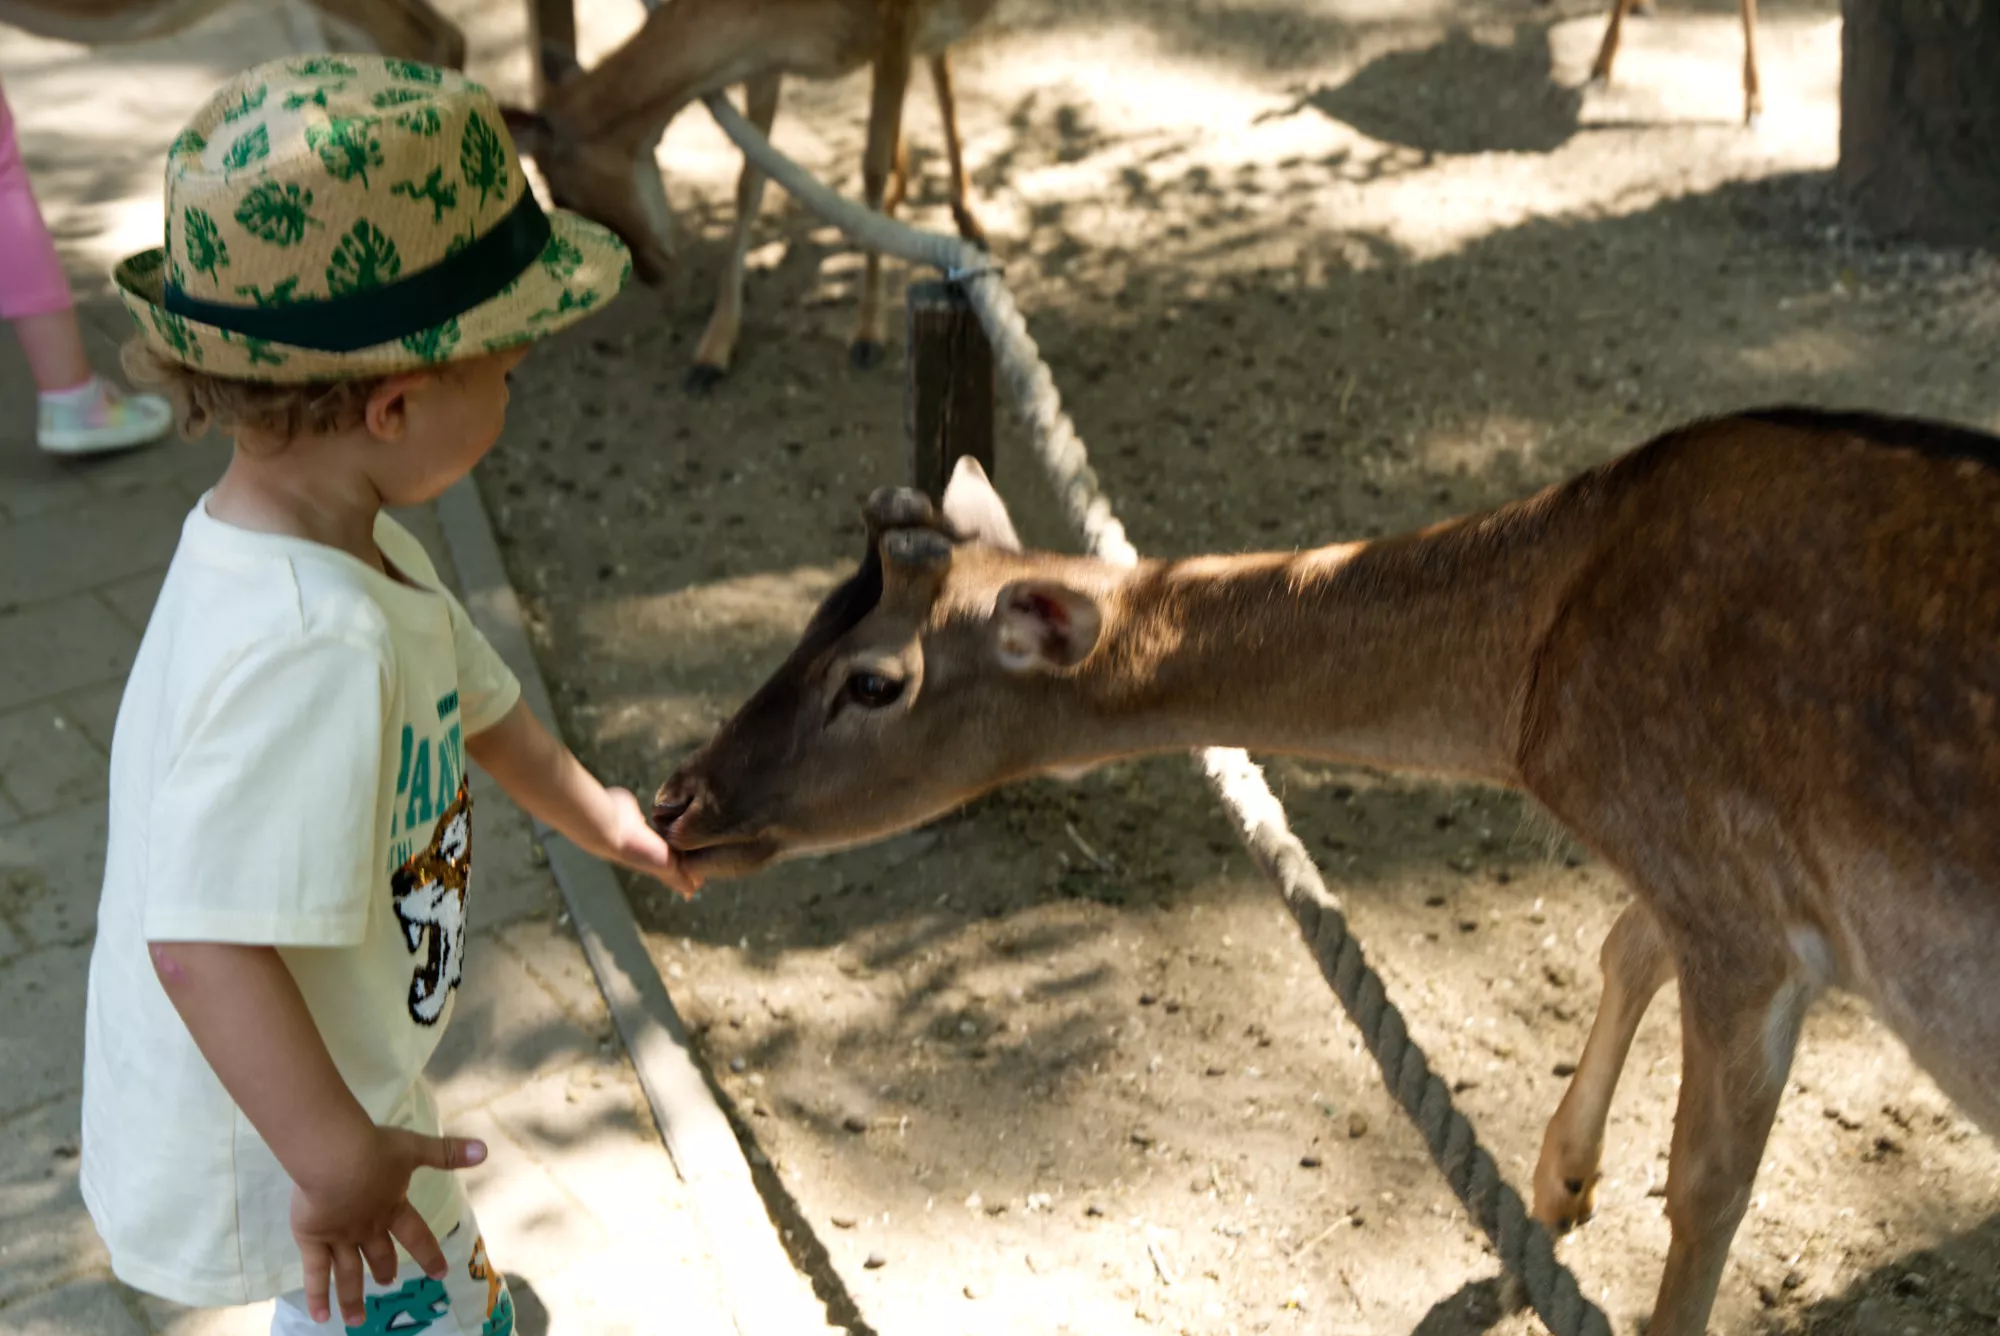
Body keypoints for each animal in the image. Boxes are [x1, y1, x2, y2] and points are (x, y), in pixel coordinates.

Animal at [504, 0, 996, 392]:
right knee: (939, 59)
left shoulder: (895, 27)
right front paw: (711, 353)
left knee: (943, 69)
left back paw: (969, 218)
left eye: (561, 198)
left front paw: (868, 334)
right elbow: (749, 181)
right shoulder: (766, 62)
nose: (651, 274)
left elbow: (871, 170)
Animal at [656, 412, 2000, 1328]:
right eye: (807, 618)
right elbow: (1622, 939)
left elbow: (1707, 1186)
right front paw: (1557, 1186)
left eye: (873, 679)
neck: (1532, 695)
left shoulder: (1732, 892)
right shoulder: (1703, 876)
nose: (678, 801)